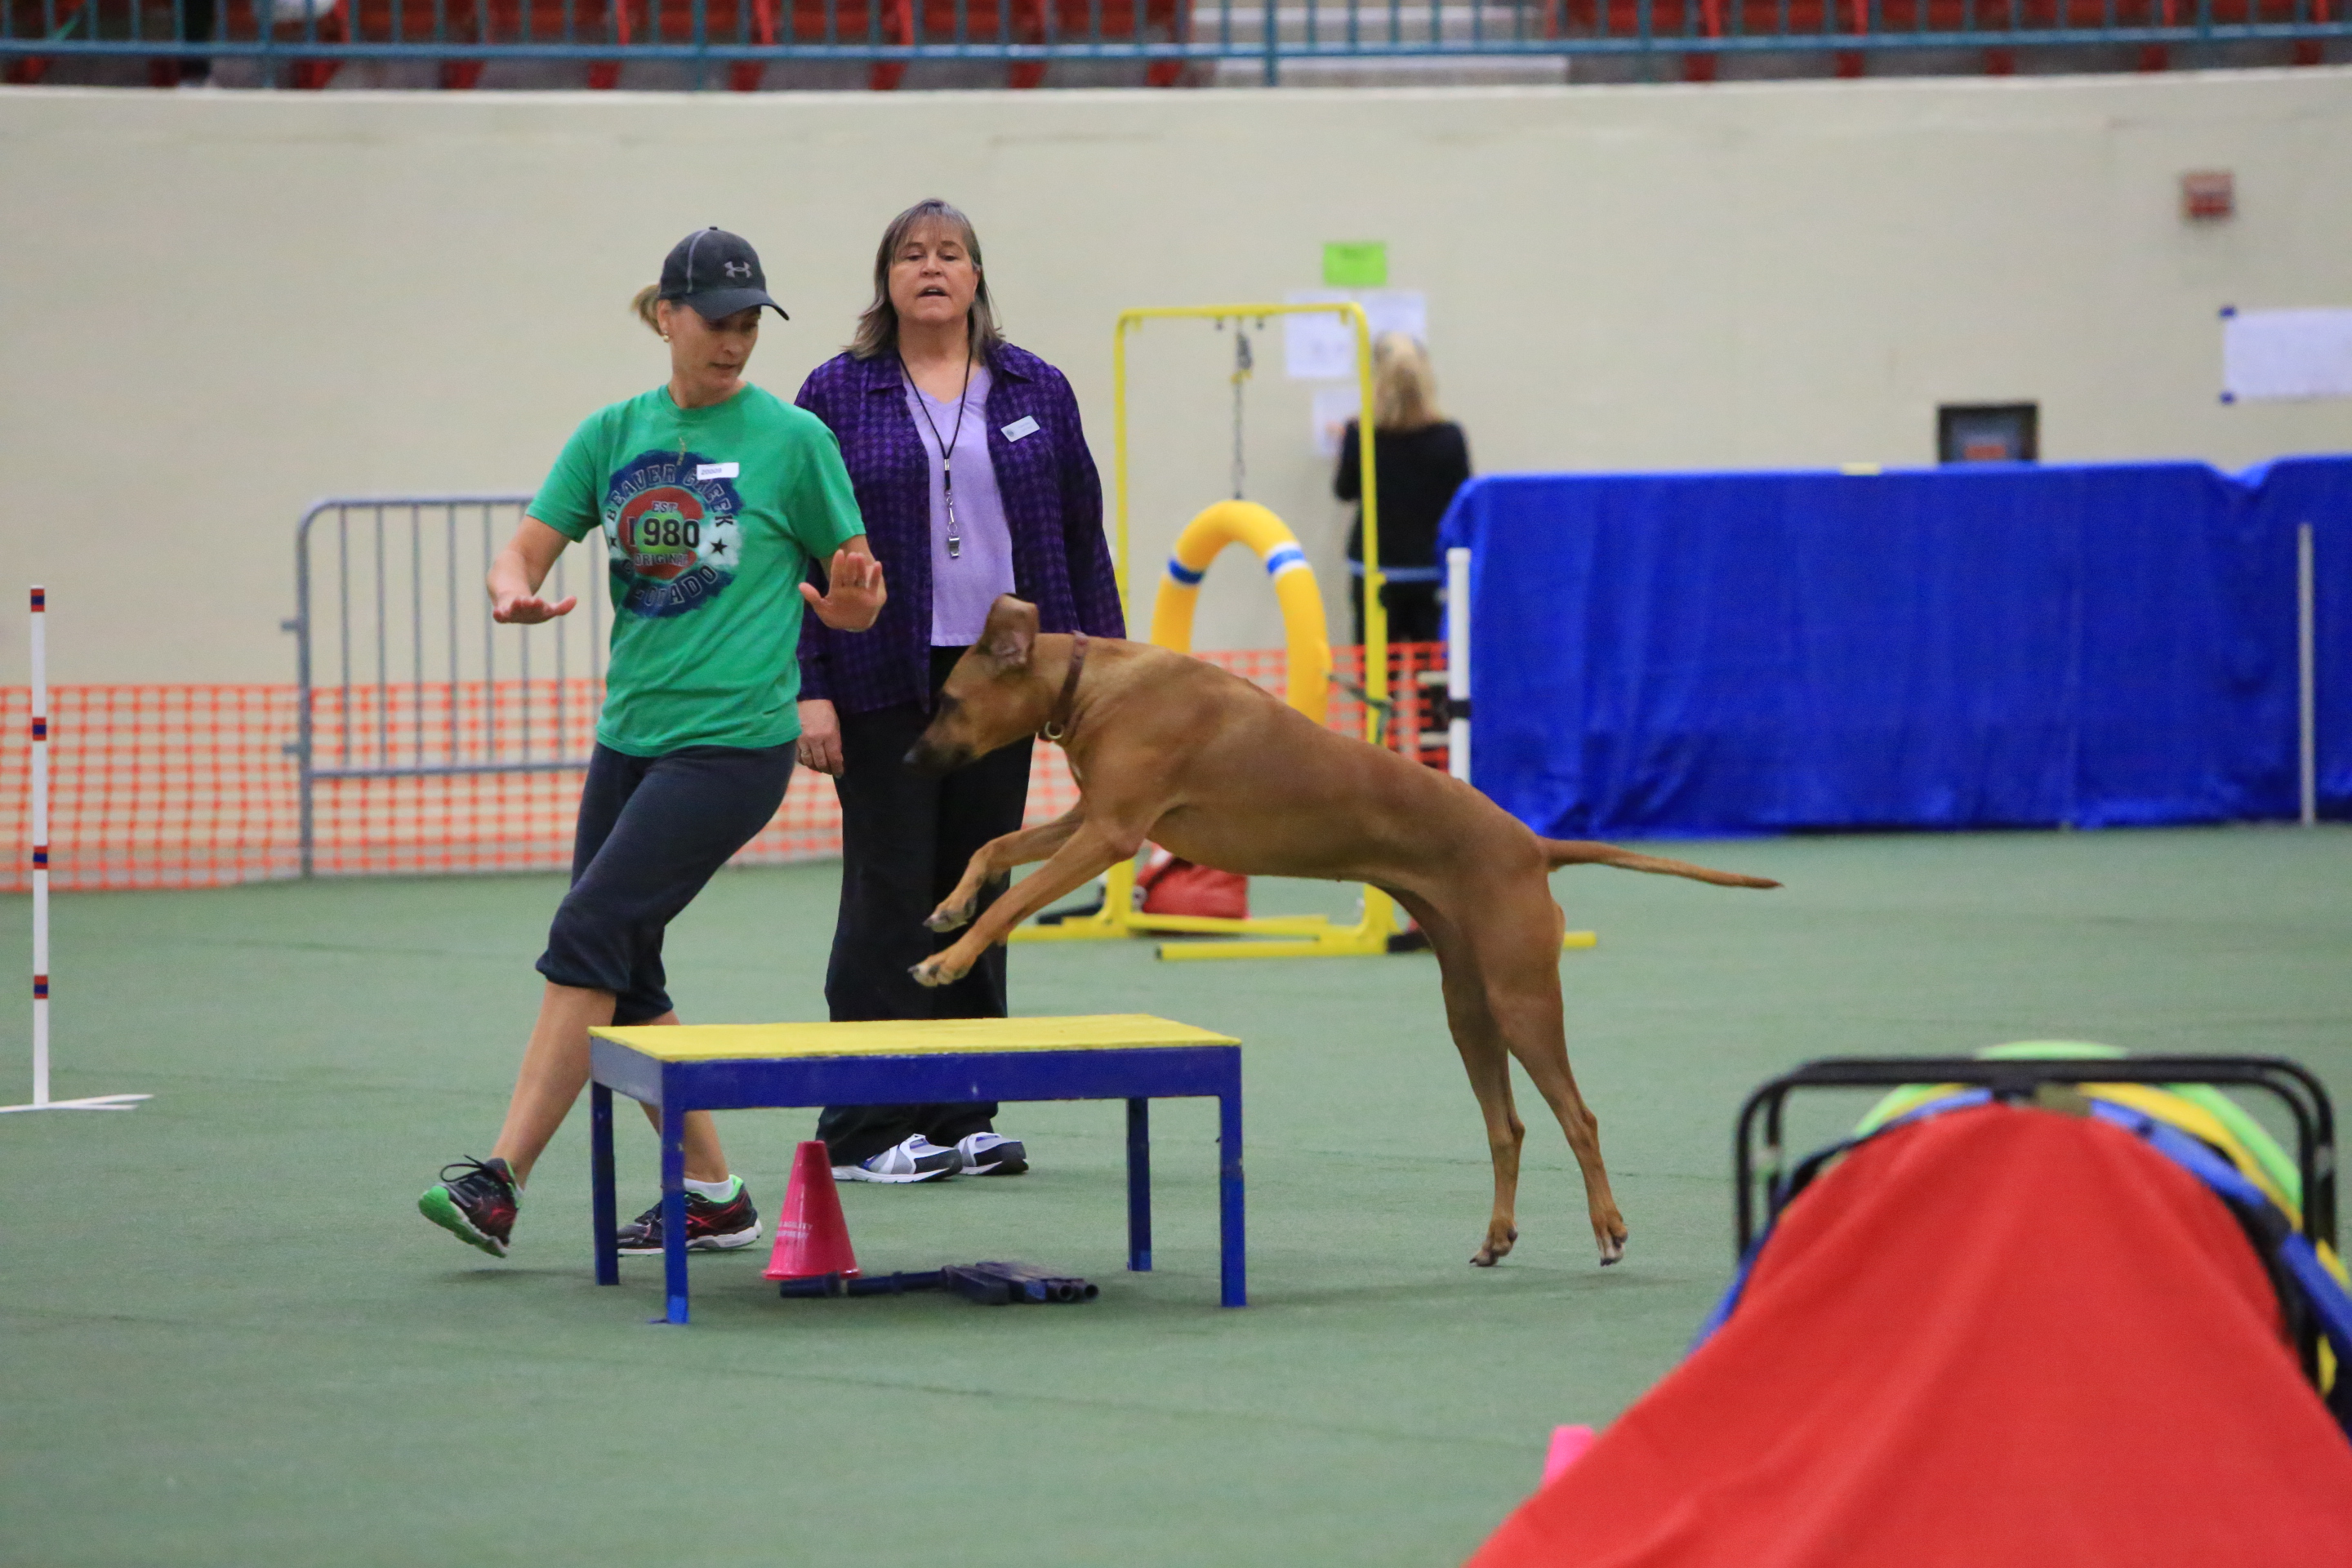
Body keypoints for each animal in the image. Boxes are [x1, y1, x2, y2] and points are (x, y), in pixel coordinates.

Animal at [904, 596, 1779, 1268]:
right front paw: (949, 908)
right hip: (1468, 1005)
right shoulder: (1090, 820)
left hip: (1523, 995)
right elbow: (996, 849)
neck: (1096, 681)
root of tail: (1533, 844)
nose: (911, 763)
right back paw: (1497, 1237)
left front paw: (950, 957)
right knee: (1508, 1125)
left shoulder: (1111, 834)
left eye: (948, 701)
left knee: (1579, 1117)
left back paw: (1608, 1229)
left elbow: (1012, 900)